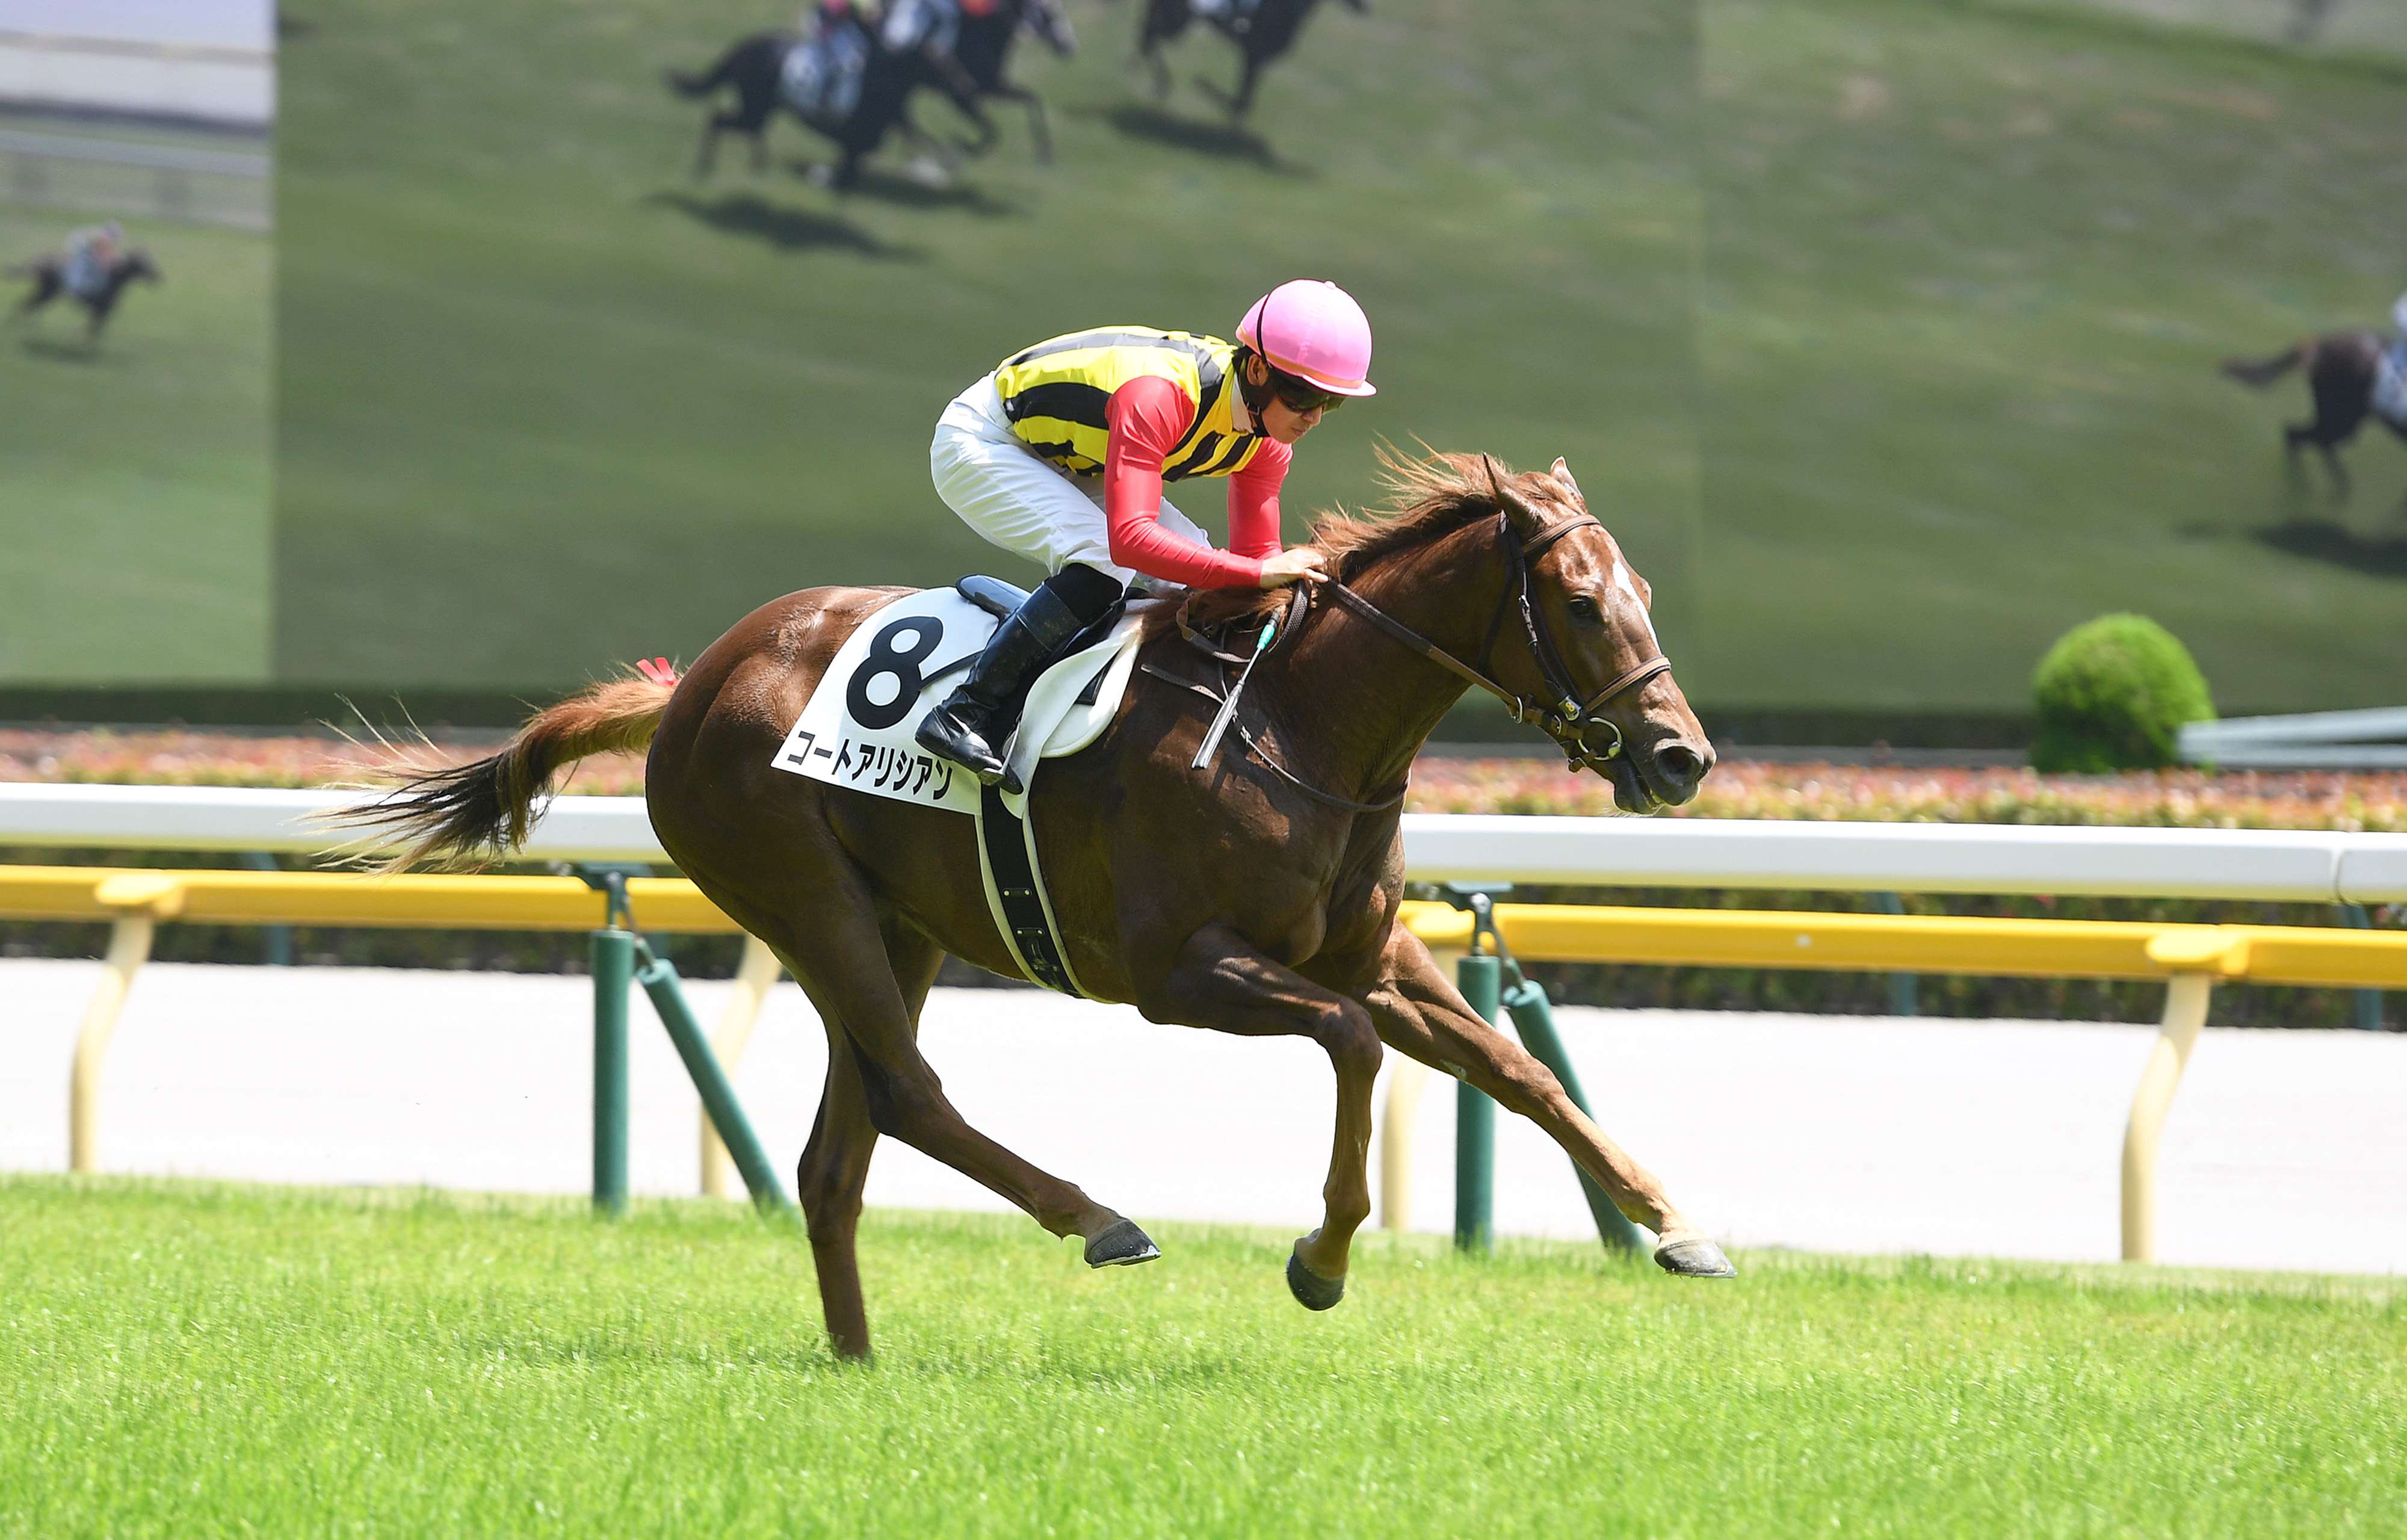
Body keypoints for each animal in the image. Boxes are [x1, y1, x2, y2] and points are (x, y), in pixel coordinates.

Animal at [8, 247, 161, 341]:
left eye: (151, 260)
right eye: (145, 262)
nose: (159, 277)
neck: (116, 276)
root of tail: (39, 258)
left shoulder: (100, 312)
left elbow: (93, 330)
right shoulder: (101, 310)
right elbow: (93, 331)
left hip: (46, 292)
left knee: (26, 304)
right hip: (48, 293)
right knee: (25, 305)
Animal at [346, 451, 1730, 1362]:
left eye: (1648, 593)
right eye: (1582, 602)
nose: (1680, 758)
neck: (1298, 723)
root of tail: (692, 682)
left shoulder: (1373, 956)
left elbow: (1521, 1069)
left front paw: (1676, 1226)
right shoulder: (1180, 975)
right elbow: (1346, 1044)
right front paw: (1322, 1258)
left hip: (894, 926)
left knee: (839, 1149)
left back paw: (859, 1357)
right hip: (803, 895)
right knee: (910, 1093)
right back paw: (1097, 1218)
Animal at [1127, 0, 1366, 118]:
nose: (1367, 8)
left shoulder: (1256, 59)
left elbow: (1244, 101)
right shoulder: (1254, 54)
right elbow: (1242, 102)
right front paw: (1204, 85)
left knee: (1145, 36)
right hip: (1175, 22)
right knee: (1148, 37)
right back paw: (1160, 83)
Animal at [2223, 332, 2407, 505]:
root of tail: (2320, 345)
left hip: (2344, 421)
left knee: (2315, 442)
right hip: (2338, 418)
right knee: (2298, 435)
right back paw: (2307, 486)